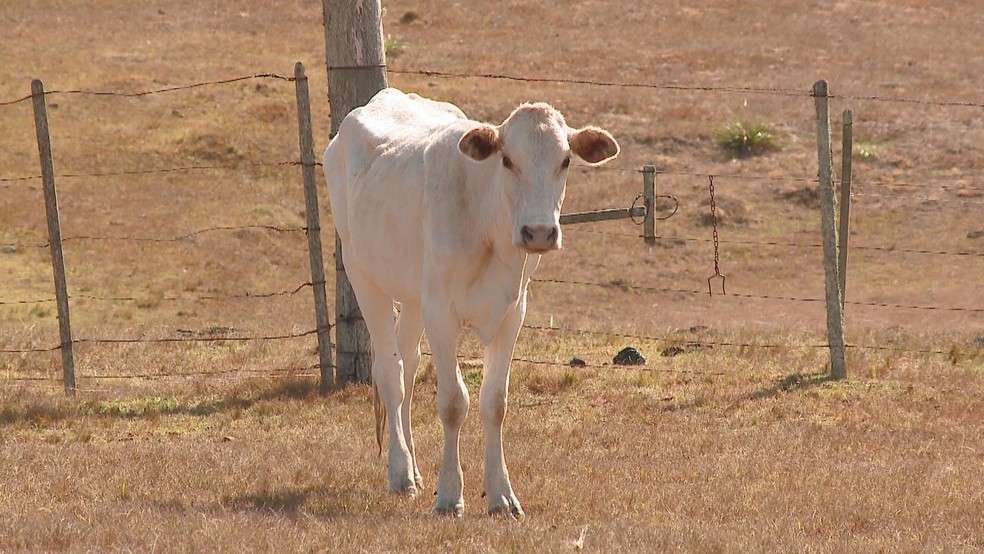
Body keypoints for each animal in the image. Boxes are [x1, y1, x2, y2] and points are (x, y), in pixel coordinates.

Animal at [322, 88, 616, 516]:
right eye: (507, 160)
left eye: (565, 160)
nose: (538, 232)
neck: (489, 225)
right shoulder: (442, 312)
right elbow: (452, 402)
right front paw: (449, 494)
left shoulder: (512, 312)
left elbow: (494, 402)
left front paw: (501, 496)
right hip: (364, 275)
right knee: (390, 373)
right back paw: (401, 473)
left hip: (415, 296)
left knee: (407, 364)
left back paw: (415, 469)